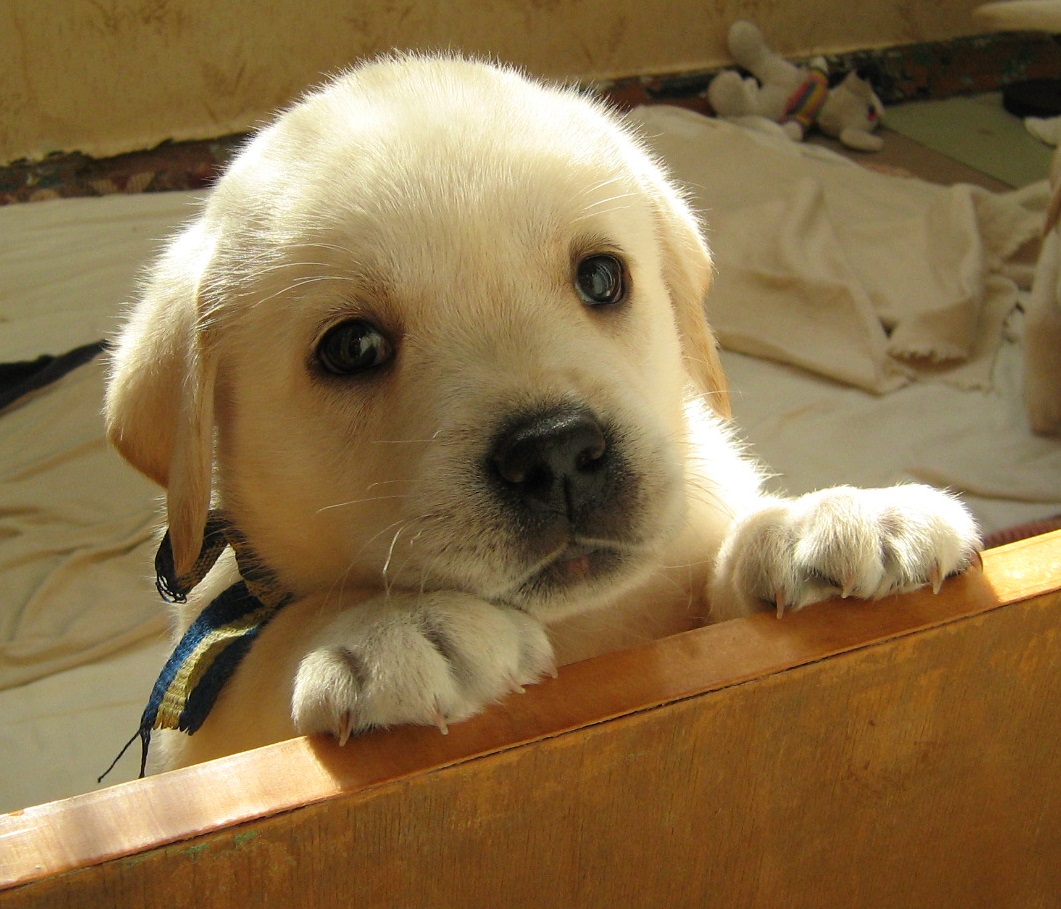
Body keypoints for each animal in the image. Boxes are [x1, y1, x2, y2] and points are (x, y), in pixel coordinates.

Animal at [105, 54, 980, 772]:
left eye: (600, 278)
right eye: (351, 347)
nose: (557, 451)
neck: (586, 626)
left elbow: (722, 563)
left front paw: (828, 520)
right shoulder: (201, 732)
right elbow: (277, 641)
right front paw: (387, 629)